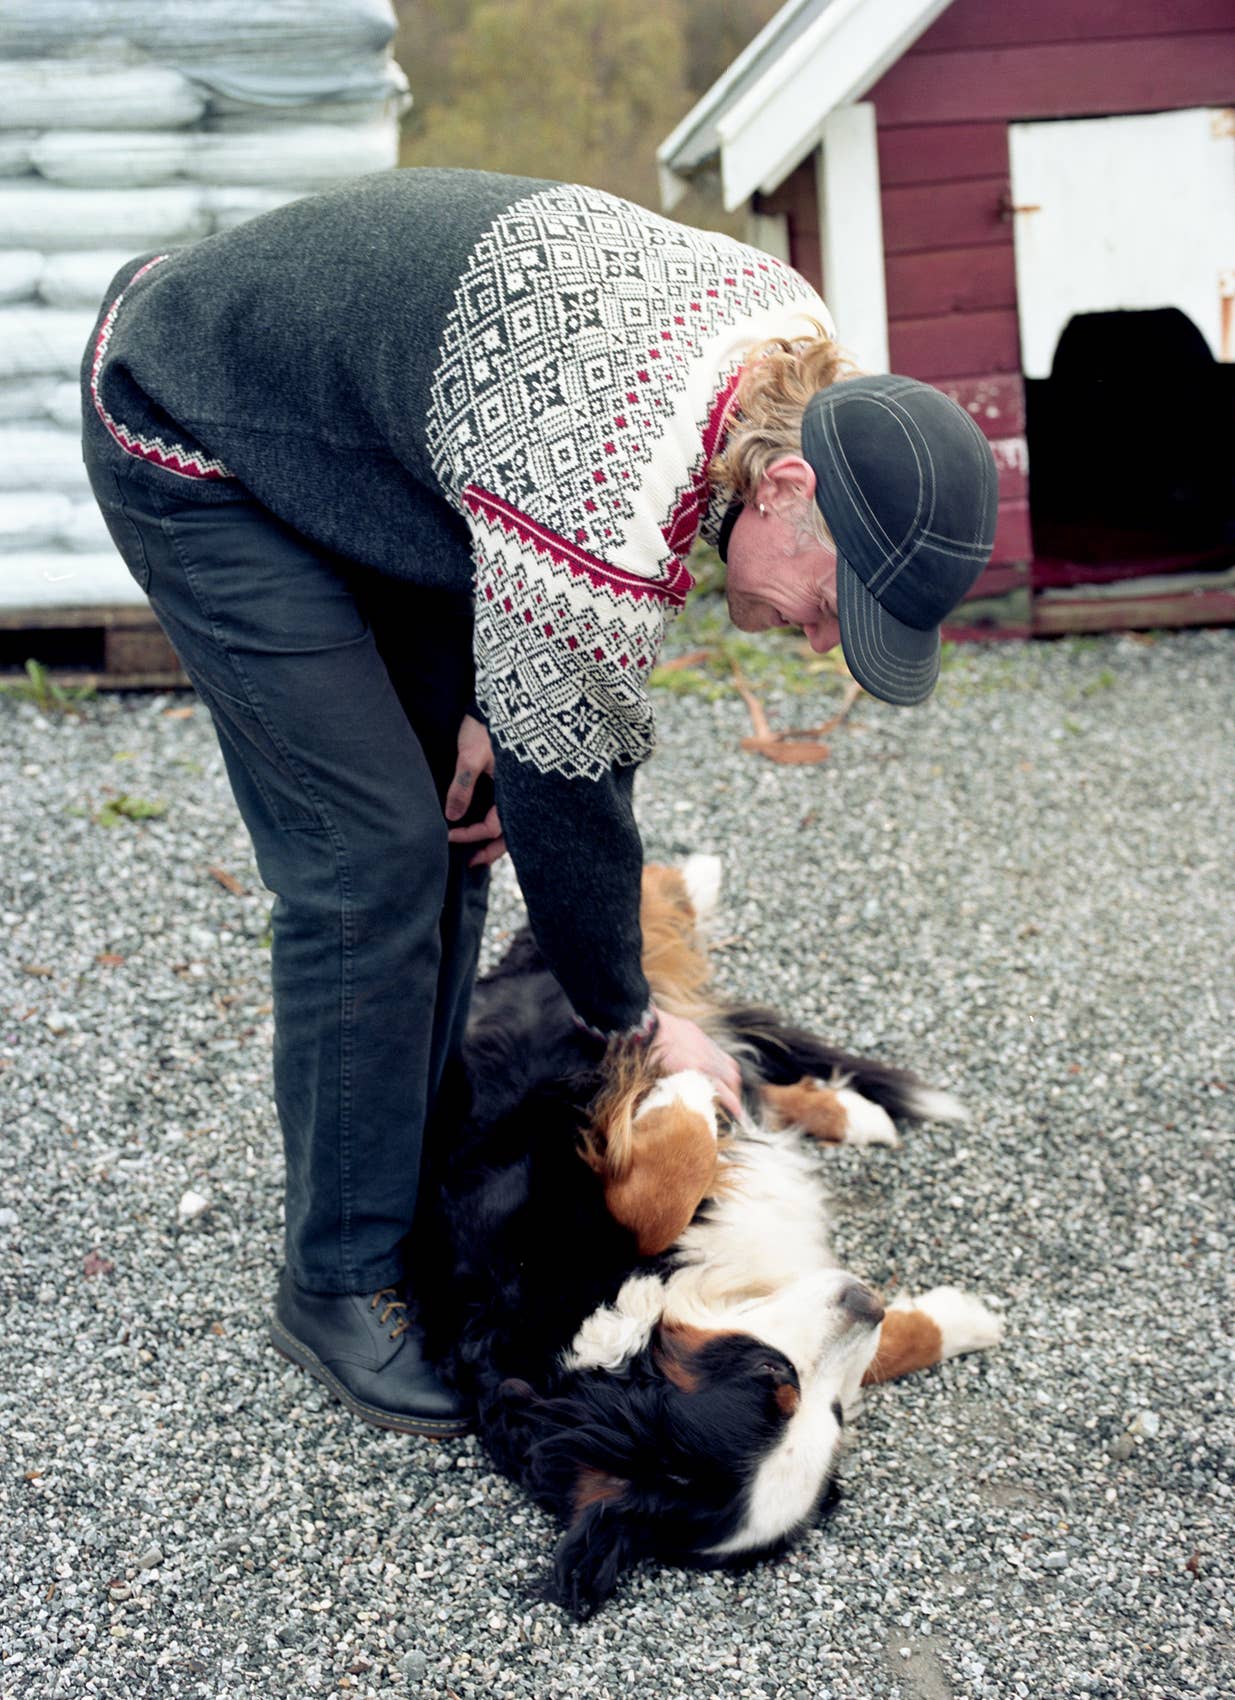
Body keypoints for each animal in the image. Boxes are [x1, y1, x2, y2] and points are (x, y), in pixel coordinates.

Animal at [416, 856, 1007, 1611]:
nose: (867, 1301)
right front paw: (683, 1096)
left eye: (836, 1416)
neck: (577, 1328)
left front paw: (959, 1322)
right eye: (773, 1377)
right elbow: (662, 1192)